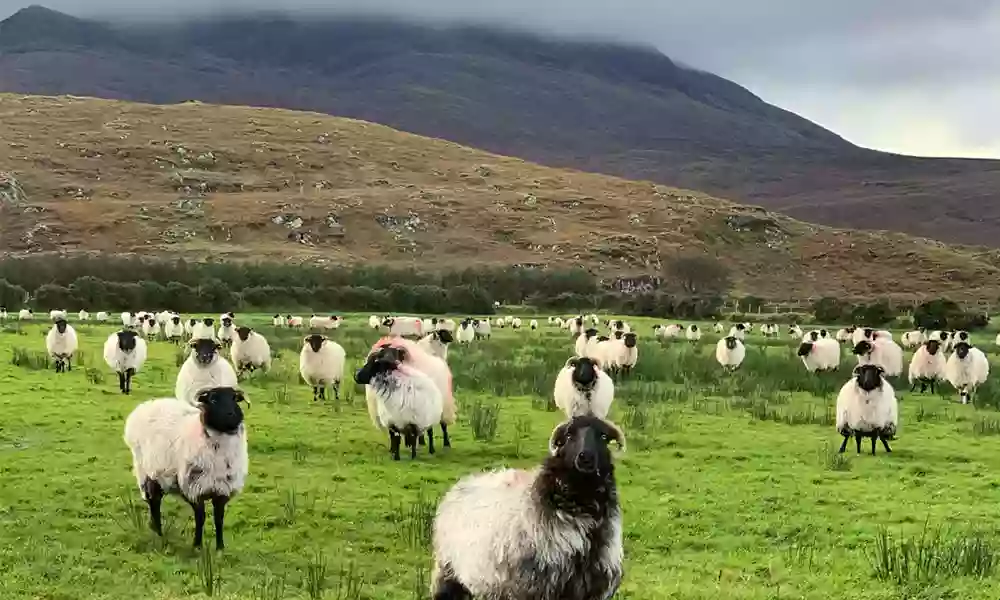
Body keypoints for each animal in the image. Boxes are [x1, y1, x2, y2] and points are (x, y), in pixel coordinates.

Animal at [122, 386, 249, 552]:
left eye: (235, 398)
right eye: (213, 399)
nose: (230, 414)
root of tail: (146, 405)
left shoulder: (222, 489)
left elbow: (219, 519)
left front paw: (220, 548)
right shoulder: (194, 488)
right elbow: (200, 518)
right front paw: (197, 546)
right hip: (146, 472)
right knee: (154, 502)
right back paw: (159, 533)